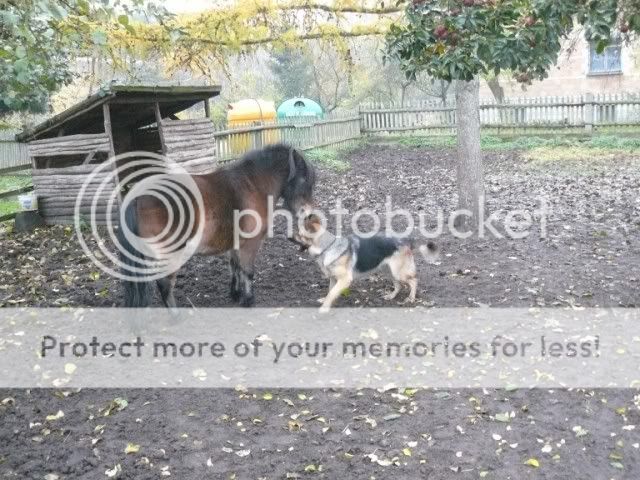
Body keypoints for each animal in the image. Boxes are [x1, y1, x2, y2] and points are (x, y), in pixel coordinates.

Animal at [119, 143, 315, 308]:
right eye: (303, 179)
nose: (308, 213)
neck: (253, 184)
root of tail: (137, 195)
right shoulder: (250, 244)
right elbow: (247, 271)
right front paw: (248, 300)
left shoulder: (236, 243)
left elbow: (235, 267)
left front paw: (236, 294)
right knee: (165, 283)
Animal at [293, 214, 439, 312]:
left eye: (299, 234)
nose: (289, 236)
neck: (328, 246)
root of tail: (406, 240)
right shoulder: (333, 279)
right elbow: (330, 291)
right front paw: (326, 301)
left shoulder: (345, 280)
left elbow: (332, 293)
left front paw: (324, 308)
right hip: (388, 271)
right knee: (398, 285)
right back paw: (391, 296)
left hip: (399, 272)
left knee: (414, 280)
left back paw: (411, 298)